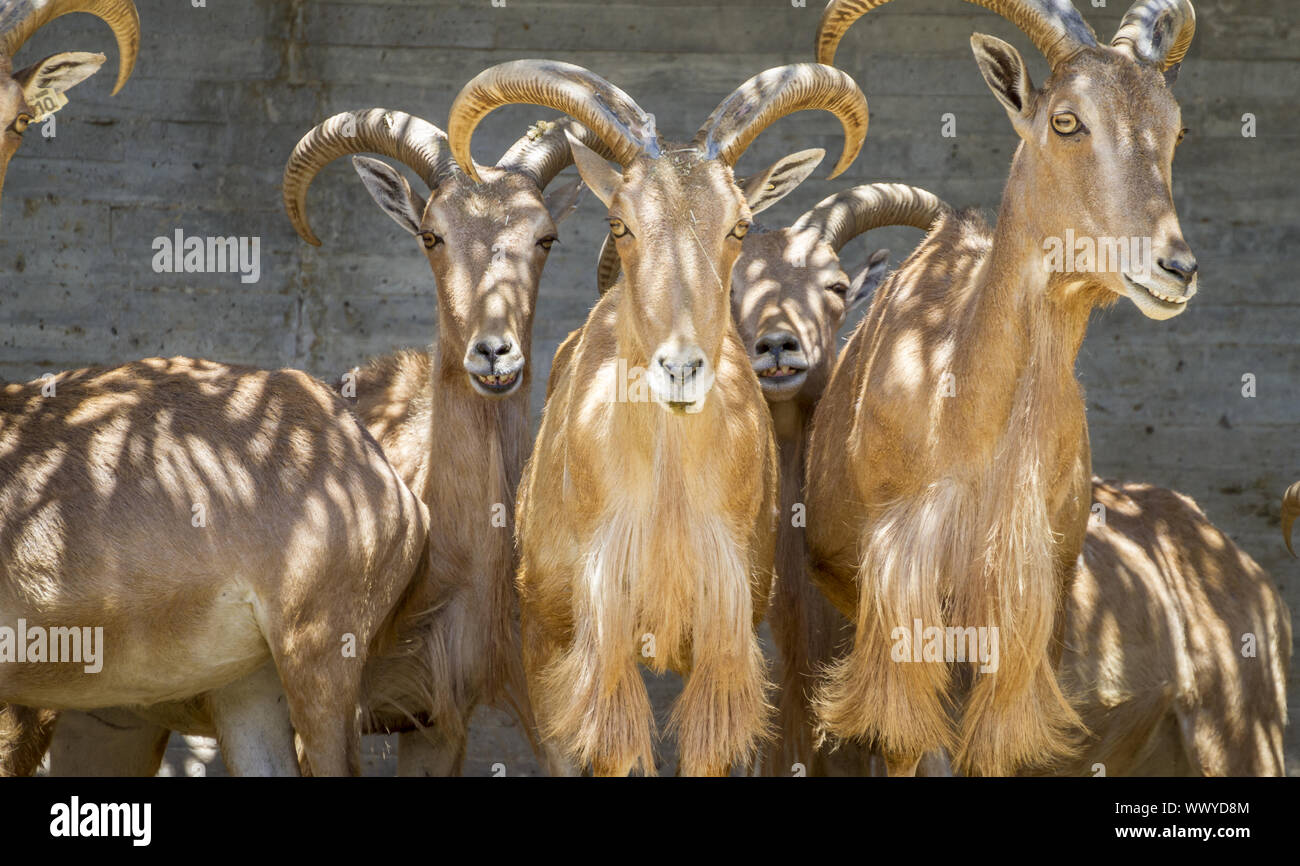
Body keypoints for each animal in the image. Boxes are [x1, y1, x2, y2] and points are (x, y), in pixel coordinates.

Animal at [447, 58, 868, 775]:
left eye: (739, 225)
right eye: (619, 223)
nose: (681, 368)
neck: (666, 495)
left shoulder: (722, 647)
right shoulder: (584, 650)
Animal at [804, 0, 1202, 776]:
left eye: (1176, 128)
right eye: (1068, 120)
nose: (1175, 267)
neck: (962, 414)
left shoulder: (1033, 602)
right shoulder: (897, 598)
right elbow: (909, 741)